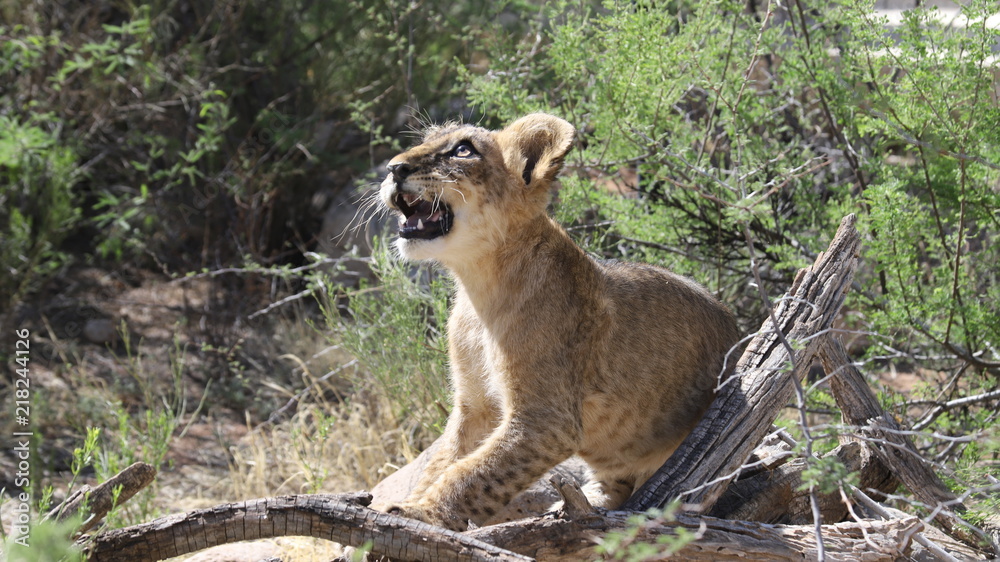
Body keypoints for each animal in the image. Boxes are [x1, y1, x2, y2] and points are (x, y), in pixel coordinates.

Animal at [375, 113, 740, 531]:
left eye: (462, 150)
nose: (393, 168)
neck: (478, 286)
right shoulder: (475, 406)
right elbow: (445, 459)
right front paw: (412, 502)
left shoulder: (546, 420)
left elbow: (471, 474)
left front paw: (421, 514)